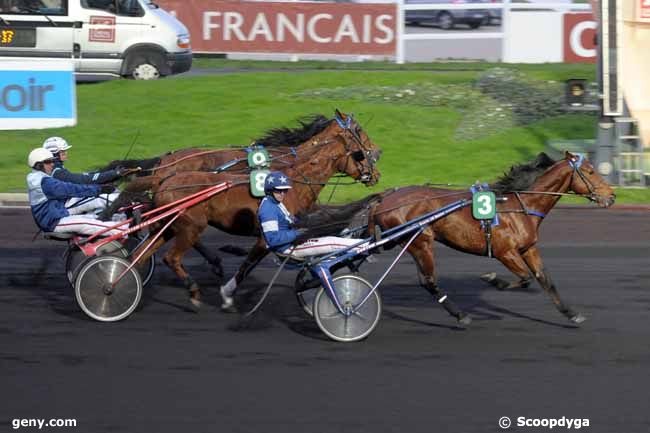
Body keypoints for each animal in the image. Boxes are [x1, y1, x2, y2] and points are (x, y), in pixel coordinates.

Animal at [128, 111, 380, 308]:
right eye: (359, 131)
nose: (377, 156)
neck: (294, 174)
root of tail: (162, 170)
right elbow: (250, 263)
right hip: (191, 224)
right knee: (172, 254)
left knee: (144, 252)